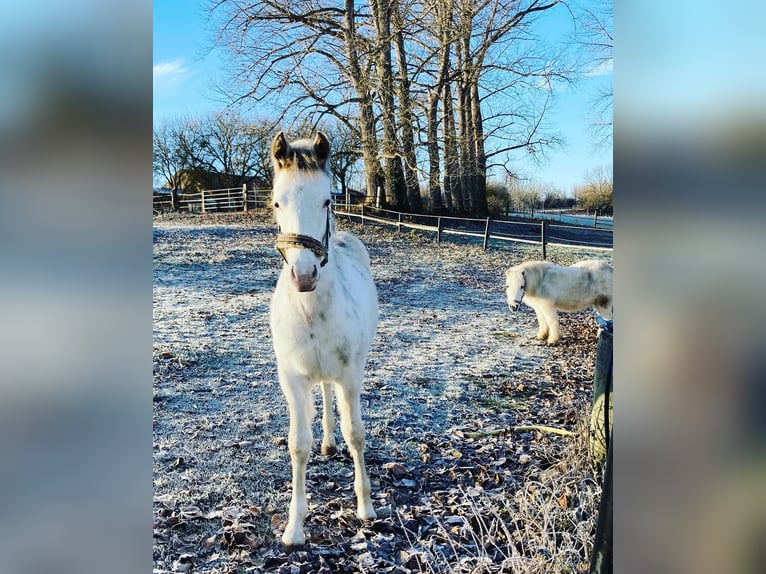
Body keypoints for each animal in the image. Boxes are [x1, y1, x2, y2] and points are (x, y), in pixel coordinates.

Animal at [268, 132, 380, 548]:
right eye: (277, 202)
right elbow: (298, 444)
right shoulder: (293, 379)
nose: (304, 275)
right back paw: (327, 443)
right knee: (324, 393)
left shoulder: (351, 376)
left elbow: (356, 433)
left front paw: (365, 506)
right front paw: (294, 527)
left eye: (327, 200)